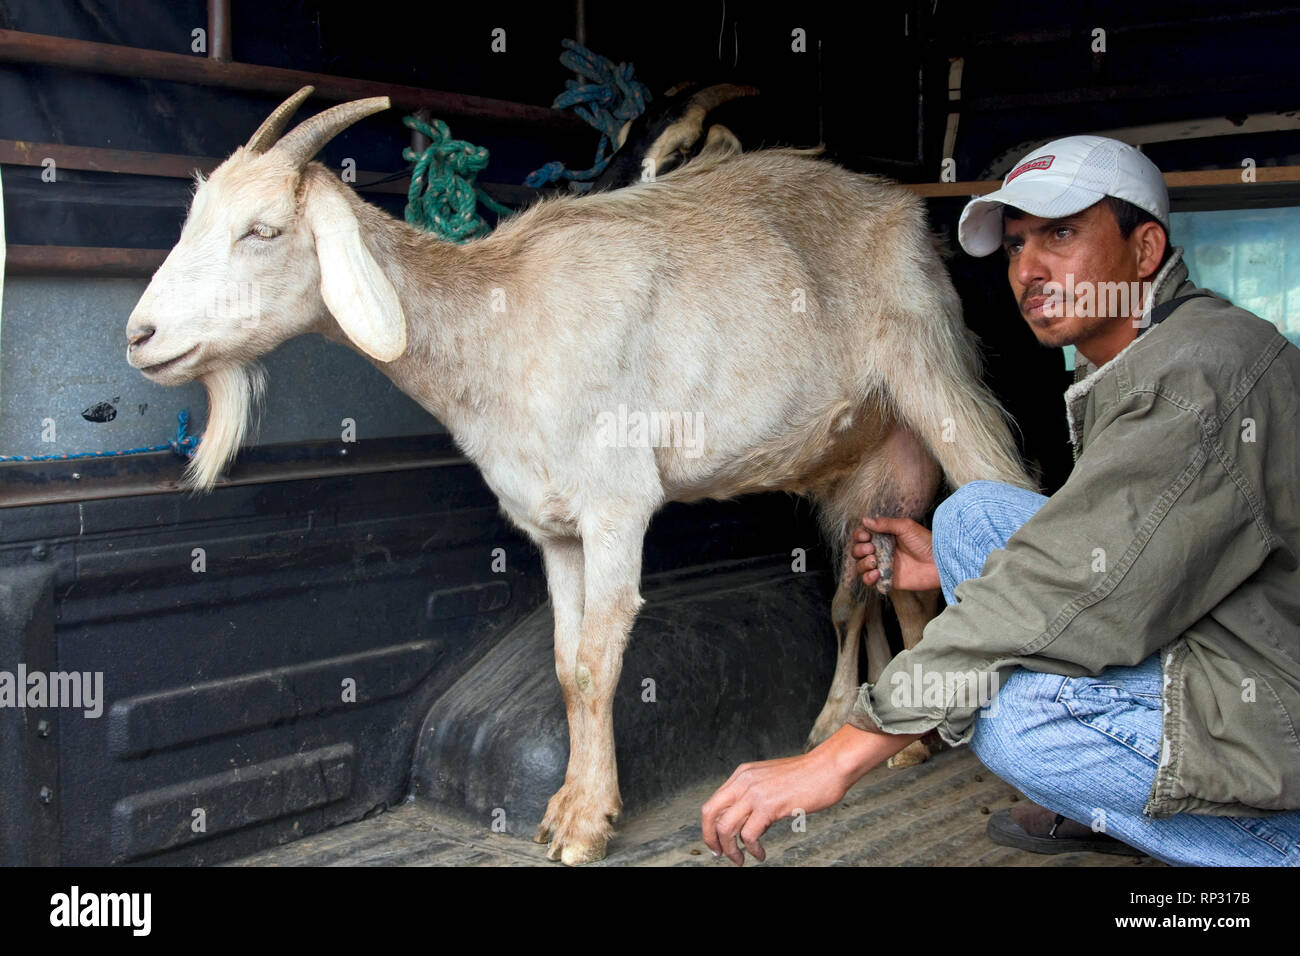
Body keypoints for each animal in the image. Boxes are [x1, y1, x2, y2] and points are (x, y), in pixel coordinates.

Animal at [126, 87, 1035, 865]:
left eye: (263, 231)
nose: (140, 335)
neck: (504, 325)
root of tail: (900, 207)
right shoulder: (553, 526)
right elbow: (567, 668)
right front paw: (563, 805)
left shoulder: (615, 505)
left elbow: (601, 661)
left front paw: (587, 824)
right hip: (870, 473)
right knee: (882, 588)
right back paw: (888, 735)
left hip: (934, 374)